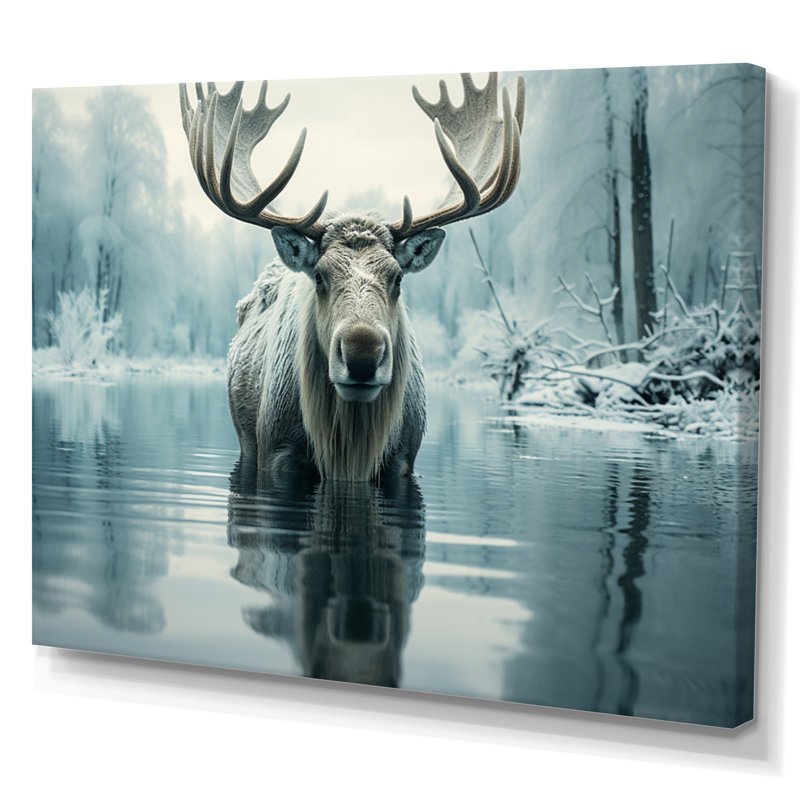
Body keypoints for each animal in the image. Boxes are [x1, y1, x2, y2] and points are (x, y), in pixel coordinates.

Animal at [179, 73, 525, 481]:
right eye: (319, 276)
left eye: (398, 278)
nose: (362, 353)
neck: (350, 451)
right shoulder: (276, 452)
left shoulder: (402, 460)